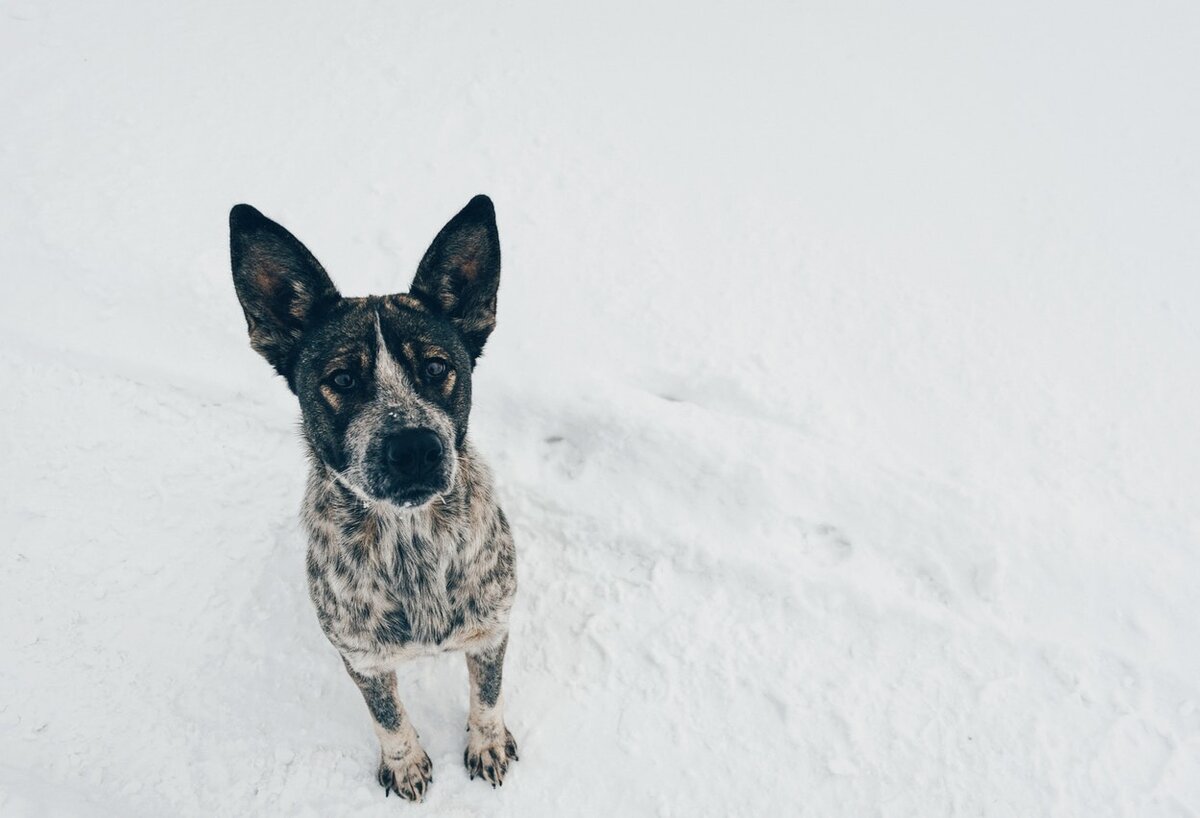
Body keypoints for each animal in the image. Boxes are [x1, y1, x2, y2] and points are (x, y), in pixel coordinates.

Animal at [229, 195, 516, 796]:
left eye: (436, 366)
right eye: (342, 378)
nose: (414, 448)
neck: (412, 543)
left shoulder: (491, 631)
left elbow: (488, 696)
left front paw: (487, 744)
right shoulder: (361, 658)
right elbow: (387, 717)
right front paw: (405, 763)